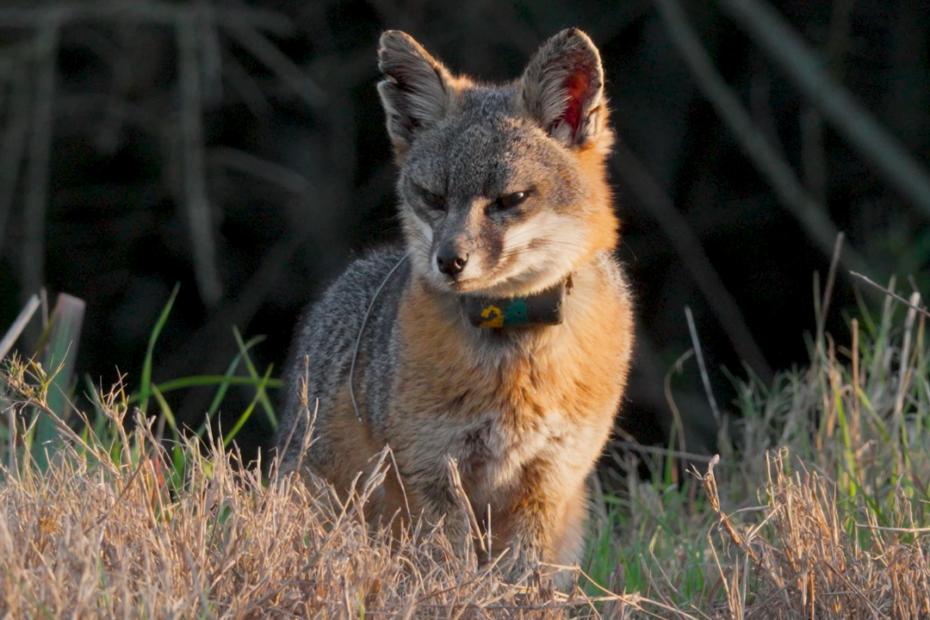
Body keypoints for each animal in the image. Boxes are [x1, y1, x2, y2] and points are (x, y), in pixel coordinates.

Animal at [276, 28, 634, 580]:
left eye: (511, 200)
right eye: (433, 198)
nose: (449, 260)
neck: (513, 346)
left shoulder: (551, 477)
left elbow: (524, 578)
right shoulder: (432, 468)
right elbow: (449, 571)